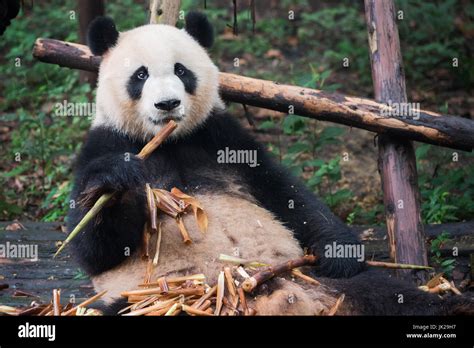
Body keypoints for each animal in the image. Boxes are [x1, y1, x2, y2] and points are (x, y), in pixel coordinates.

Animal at [65, 12, 470, 316]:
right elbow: (94, 247)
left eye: (181, 71)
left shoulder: (221, 137)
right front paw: (116, 183)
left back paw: (454, 306)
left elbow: (287, 193)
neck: (169, 140)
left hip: (316, 280)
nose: (167, 105)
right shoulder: (105, 142)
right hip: (155, 299)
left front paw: (339, 252)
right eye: (141, 75)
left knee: (386, 292)